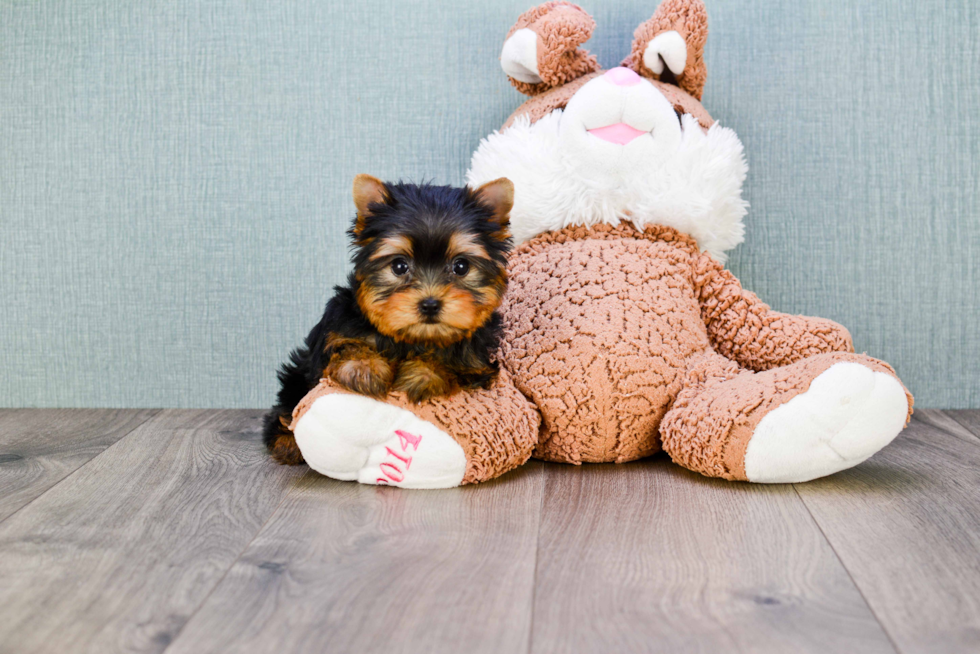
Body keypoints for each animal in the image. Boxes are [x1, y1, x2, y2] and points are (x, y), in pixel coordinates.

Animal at [264, 176, 516, 466]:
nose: (430, 304)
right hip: (296, 378)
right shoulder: (339, 328)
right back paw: (286, 441)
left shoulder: (476, 365)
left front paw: (422, 374)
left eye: (461, 266)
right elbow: (347, 345)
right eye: (399, 266)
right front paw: (365, 368)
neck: (413, 338)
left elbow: (450, 364)